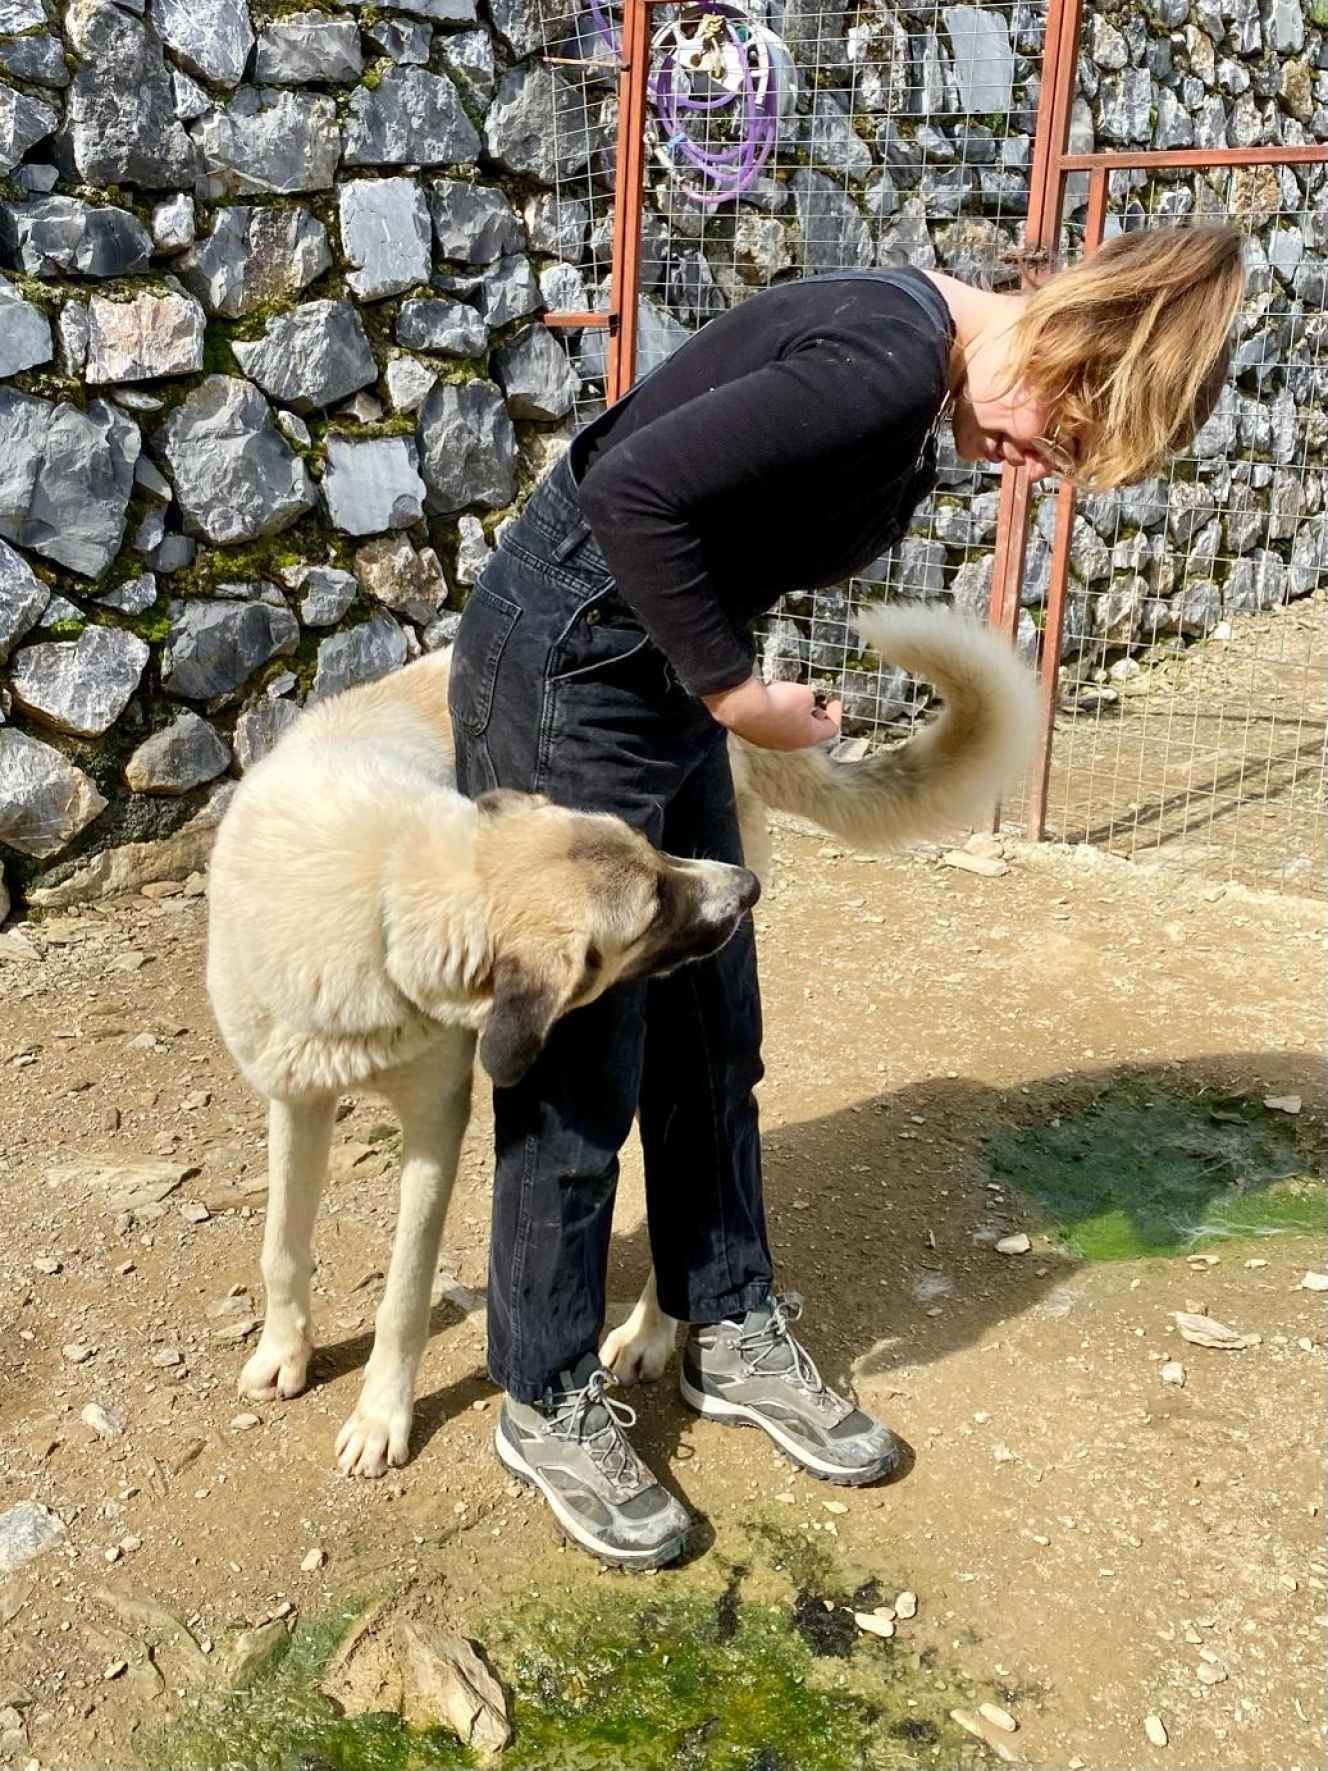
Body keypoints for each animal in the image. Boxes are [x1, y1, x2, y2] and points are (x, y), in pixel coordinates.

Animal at [208, 602, 1041, 1473]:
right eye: (651, 904)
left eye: (651, 848)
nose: (742, 888)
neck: (385, 883)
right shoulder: (294, 1094)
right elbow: (281, 1242)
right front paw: (285, 1351)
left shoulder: (436, 1125)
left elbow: (403, 1295)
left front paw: (380, 1416)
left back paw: (650, 1332)